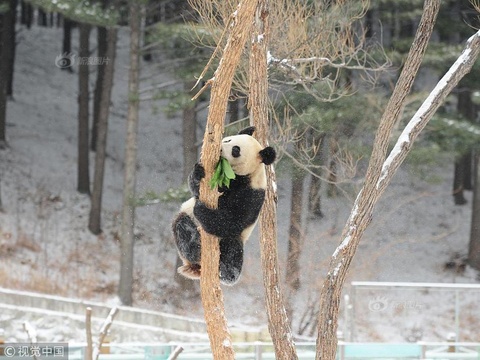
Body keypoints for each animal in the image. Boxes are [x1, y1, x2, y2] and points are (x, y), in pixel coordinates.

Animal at [172, 125, 278, 286]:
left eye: (236, 150)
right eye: (228, 139)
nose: (220, 149)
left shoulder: (252, 194)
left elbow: (232, 221)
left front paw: (201, 209)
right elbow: (197, 190)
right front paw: (198, 173)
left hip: (233, 240)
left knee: (232, 253)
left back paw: (225, 271)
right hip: (185, 217)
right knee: (183, 228)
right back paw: (196, 248)